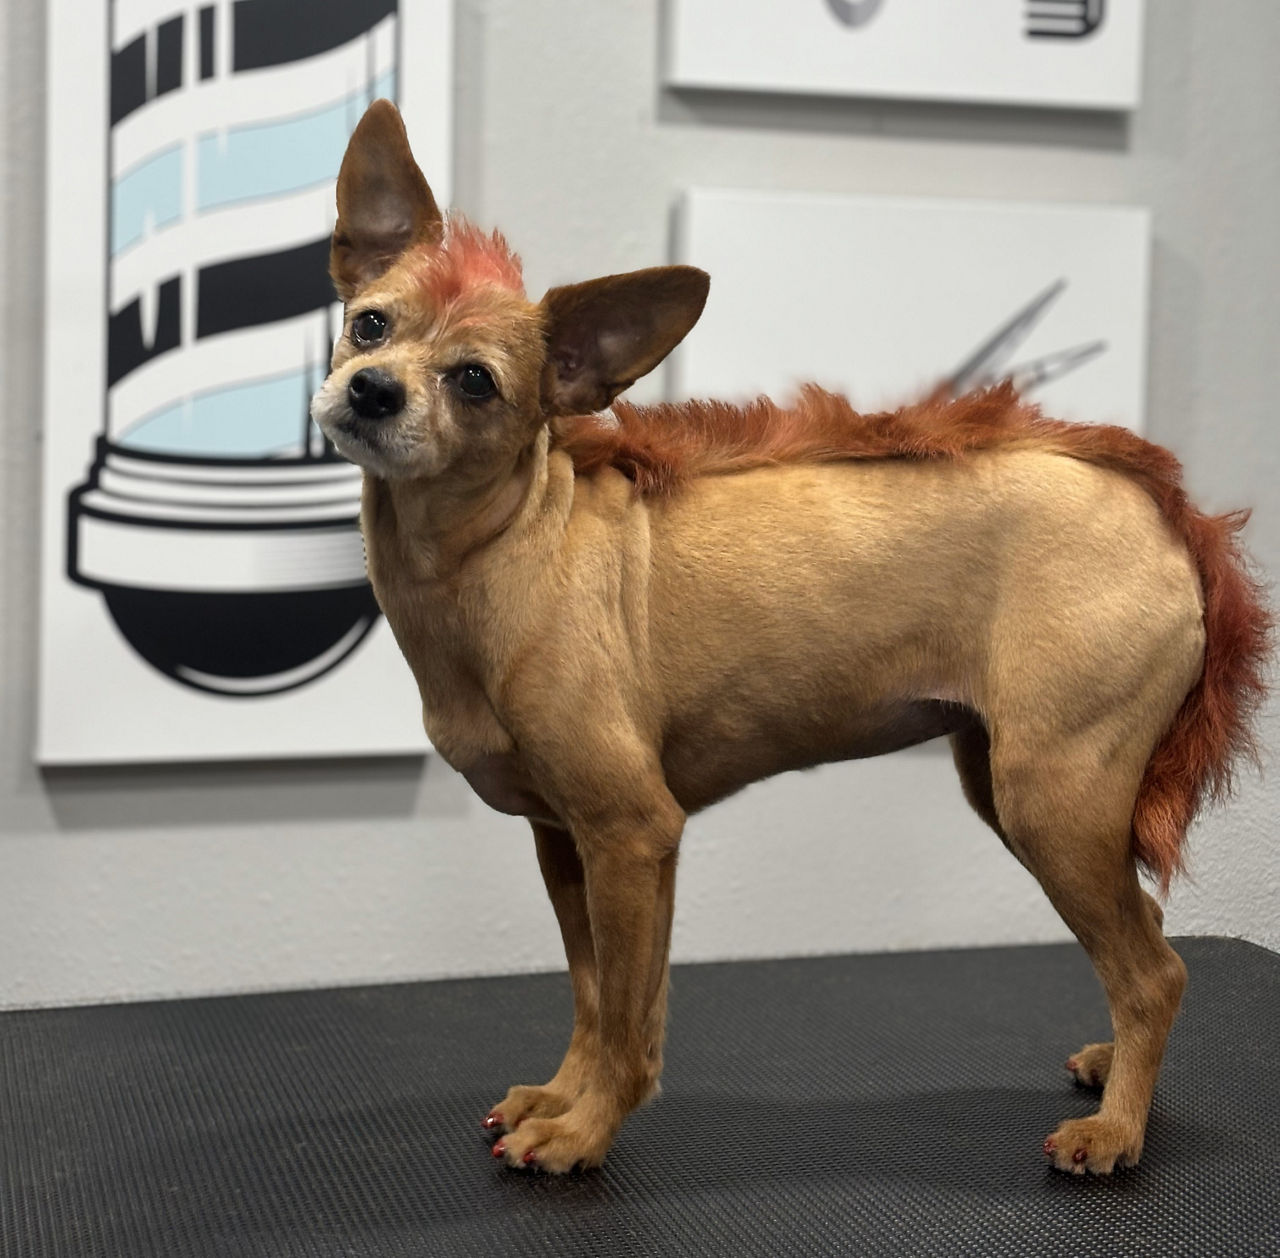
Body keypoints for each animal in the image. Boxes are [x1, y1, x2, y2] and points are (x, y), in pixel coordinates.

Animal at [309, 103, 1269, 1177]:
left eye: (475, 381)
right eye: (370, 322)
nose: (372, 391)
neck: (502, 547)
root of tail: (1164, 512)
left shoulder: (633, 831)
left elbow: (632, 1021)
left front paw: (585, 1133)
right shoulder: (566, 840)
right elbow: (593, 998)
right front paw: (559, 1097)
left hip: (1054, 797)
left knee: (1155, 972)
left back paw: (1117, 1130)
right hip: (1023, 786)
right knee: (1149, 935)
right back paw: (1116, 1074)